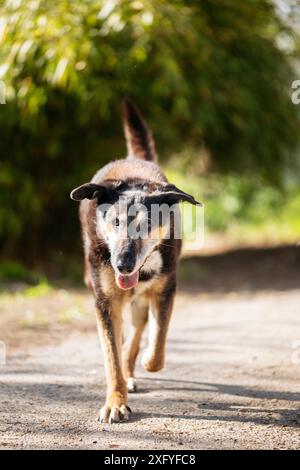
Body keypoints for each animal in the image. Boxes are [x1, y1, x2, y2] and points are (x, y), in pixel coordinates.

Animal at [71, 98, 202, 422]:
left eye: (148, 224)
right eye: (115, 221)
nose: (123, 265)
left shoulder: (165, 291)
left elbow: (156, 348)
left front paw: (142, 362)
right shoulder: (105, 301)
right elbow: (112, 357)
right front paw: (116, 401)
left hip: (141, 301)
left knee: (139, 329)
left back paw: (133, 365)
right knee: (121, 339)